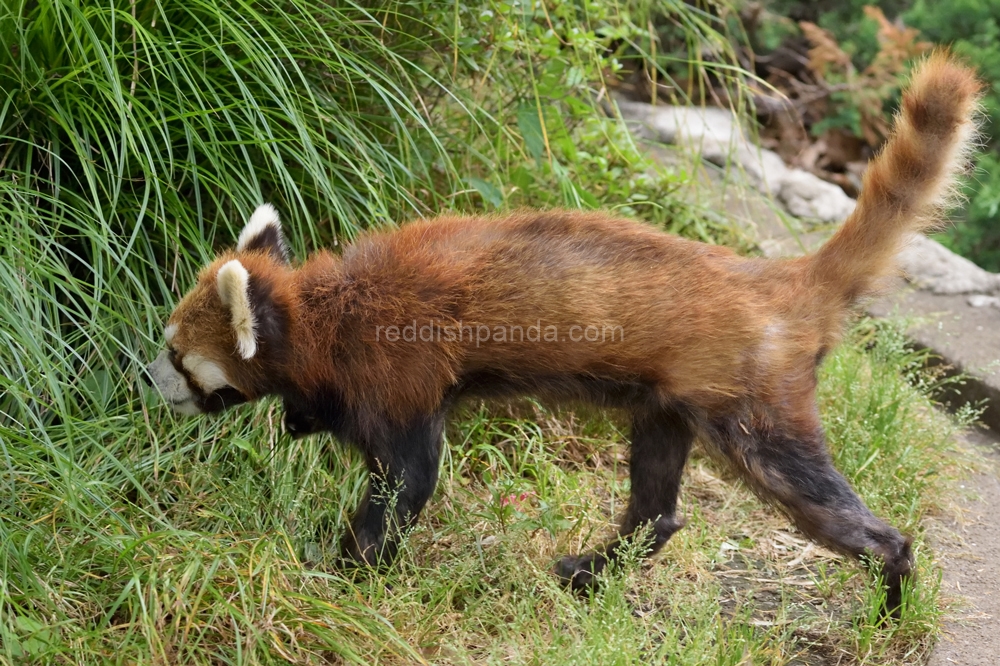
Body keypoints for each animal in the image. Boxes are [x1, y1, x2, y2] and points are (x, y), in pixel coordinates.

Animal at [145, 54, 980, 616]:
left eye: (178, 357)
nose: (141, 380)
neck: (324, 312)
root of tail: (776, 279)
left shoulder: (400, 375)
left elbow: (407, 481)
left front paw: (348, 568)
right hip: (668, 406)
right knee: (657, 505)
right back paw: (591, 571)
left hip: (756, 411)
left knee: (823, 504)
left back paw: (892, 594)